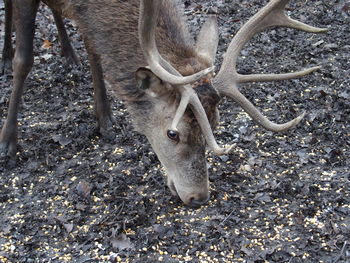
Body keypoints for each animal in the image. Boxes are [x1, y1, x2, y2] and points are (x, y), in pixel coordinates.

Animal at [1, 0, 326, 207]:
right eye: (172, 132)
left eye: (216, 123)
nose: (198, 198)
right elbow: (25, 60)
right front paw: (9, 144)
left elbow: (95, 52)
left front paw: (104, 119)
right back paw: (6, 56)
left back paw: (68, 52)